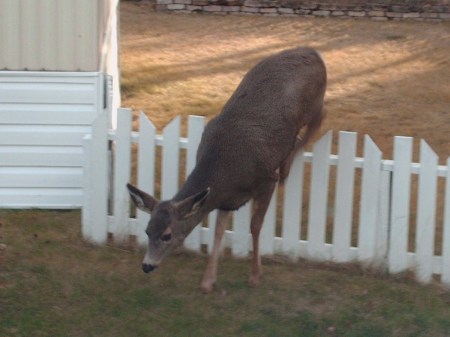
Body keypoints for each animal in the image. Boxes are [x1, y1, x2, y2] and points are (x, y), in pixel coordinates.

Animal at [126, 46, 326, 292]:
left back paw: (289, 161)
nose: (146, 265)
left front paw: (255, 275)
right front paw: (207, 280)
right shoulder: (225, 199)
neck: (225, 171)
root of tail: (314, 52)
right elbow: (218, 232)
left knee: (319, 119)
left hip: (313, 103)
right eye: (147, 231)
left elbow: (255, 226)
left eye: (167, 235)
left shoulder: (266, 179)